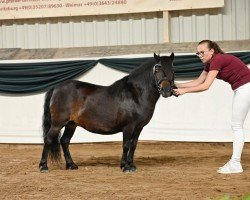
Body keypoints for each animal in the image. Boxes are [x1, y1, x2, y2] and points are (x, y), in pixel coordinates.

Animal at [39, 52, 176, 172]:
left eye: (172, 69)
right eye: (157, 69)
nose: (166, 90)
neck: (136, 94)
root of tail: (56, 87)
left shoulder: (138, 127)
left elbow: (133, 145)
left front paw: (131, 165)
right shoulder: (128, 126)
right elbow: (126, 145)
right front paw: (125, 167)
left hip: (71, 124)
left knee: (65, 141)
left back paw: (71, 165)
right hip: (58, 124)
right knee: (48, 139)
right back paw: (43, 166)